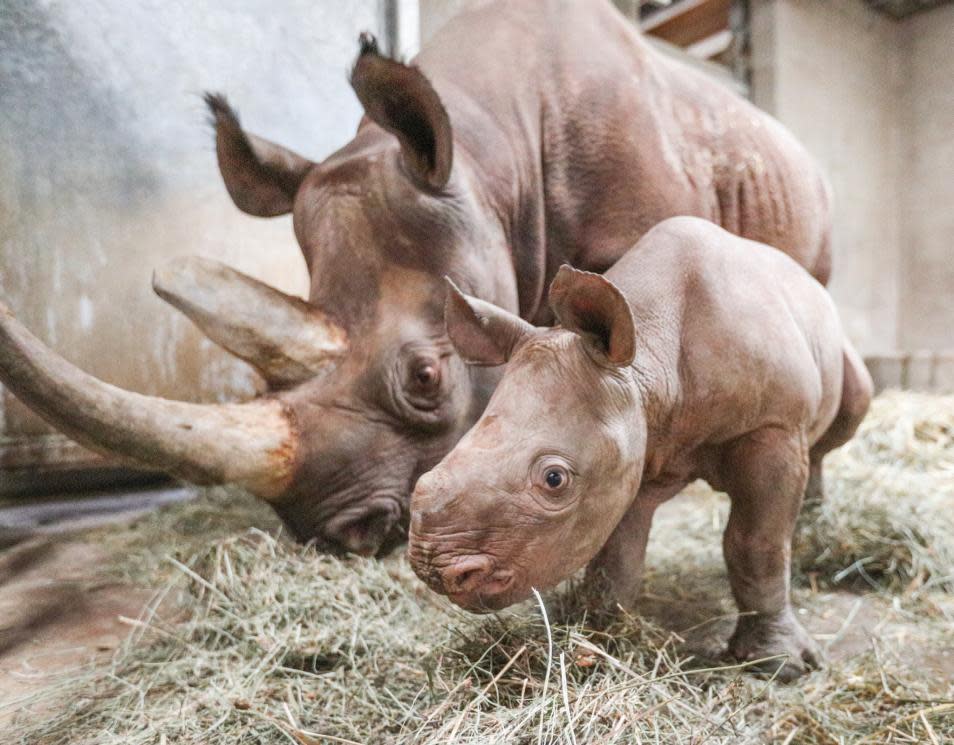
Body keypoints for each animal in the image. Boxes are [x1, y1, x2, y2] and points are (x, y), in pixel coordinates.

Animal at [410, 215, 872, 680]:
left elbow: (757, 543)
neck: (647, 360)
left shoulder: (772, 425)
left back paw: (811, 519)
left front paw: (779, 664)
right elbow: (616, 552)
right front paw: (599, 635)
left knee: (849, 411)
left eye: (554, 479)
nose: (436, 570)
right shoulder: (632, 446)